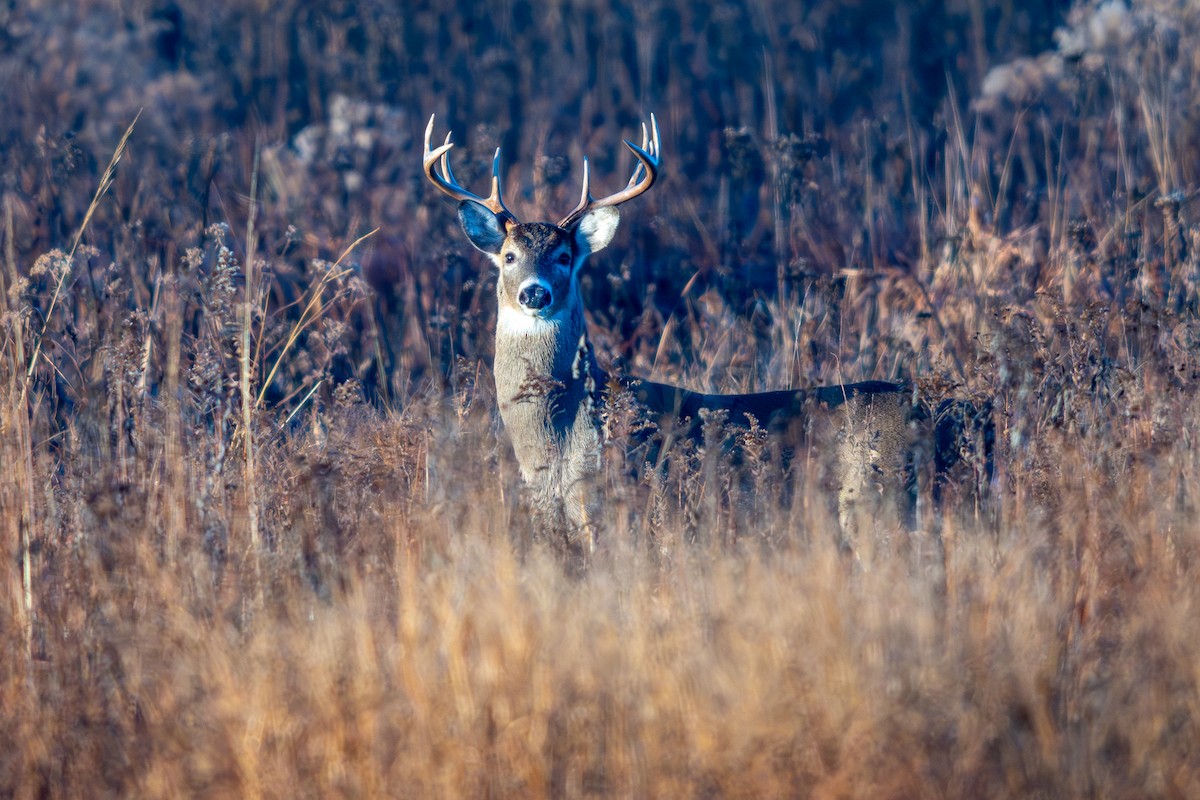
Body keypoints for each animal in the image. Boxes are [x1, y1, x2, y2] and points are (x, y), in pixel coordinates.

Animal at [422, 113, 991, 558]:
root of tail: (951, 416)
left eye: (564, 257)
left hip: (876, 495)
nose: (534, 293)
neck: (558, 439)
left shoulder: (611, 504)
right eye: (509, 256)